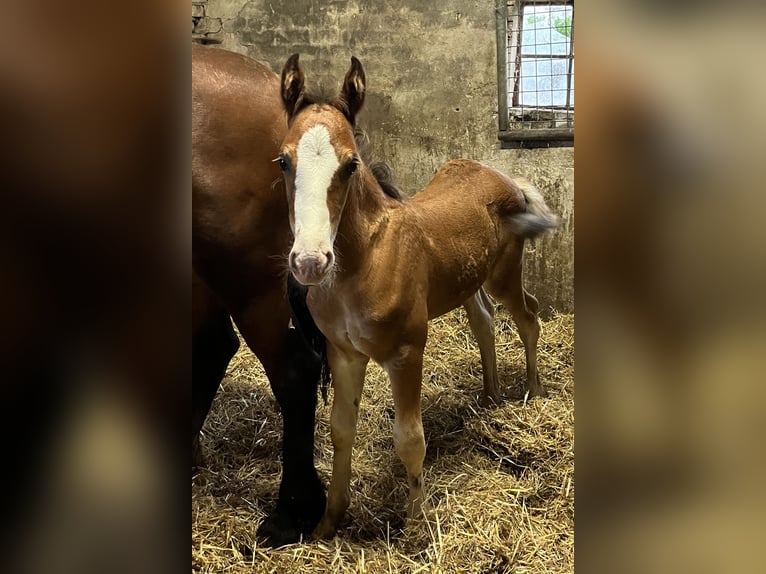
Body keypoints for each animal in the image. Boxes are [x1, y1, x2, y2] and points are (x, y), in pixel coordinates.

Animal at [276, 54, 559, 538]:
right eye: (283, 161)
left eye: (351, 165)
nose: (310, 261)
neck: (364, 262)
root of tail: (503, 175)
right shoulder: (343, 353)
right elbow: (340, 430)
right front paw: (327, 525)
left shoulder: (406, 352)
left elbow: (410, 440)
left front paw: (415, 528)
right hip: (467, 281)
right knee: (484, 322)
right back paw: (490, 396)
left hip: (503, 275)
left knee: (529, 318)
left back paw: (533, 392)